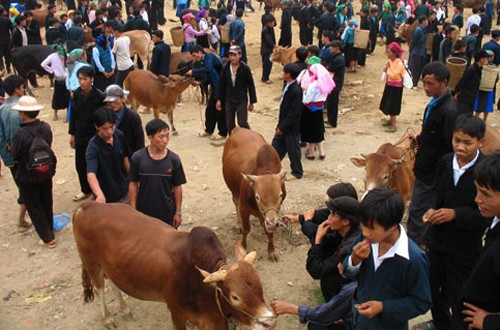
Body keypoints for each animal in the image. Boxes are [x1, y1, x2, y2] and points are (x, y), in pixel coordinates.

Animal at [73, 202, 278, 328]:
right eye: (235, 297)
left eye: (260, 286)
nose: (270, 322)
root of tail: (87, 206)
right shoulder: (177, 315)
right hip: (92, 264)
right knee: (99, 289)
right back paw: (108, 318)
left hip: (110, 266)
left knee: (114, 284)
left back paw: (125, 309)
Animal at [222, 127, 288, 262]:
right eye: (257, 196)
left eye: (280, 195)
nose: (271, 223)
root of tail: (239, 128)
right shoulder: (244, 209)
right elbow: (246, 229)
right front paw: (243, 247)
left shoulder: (270, 215)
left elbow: (269, 231)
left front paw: (272, 251)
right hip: (234, 191)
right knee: (235, 203)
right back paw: (238, 224)